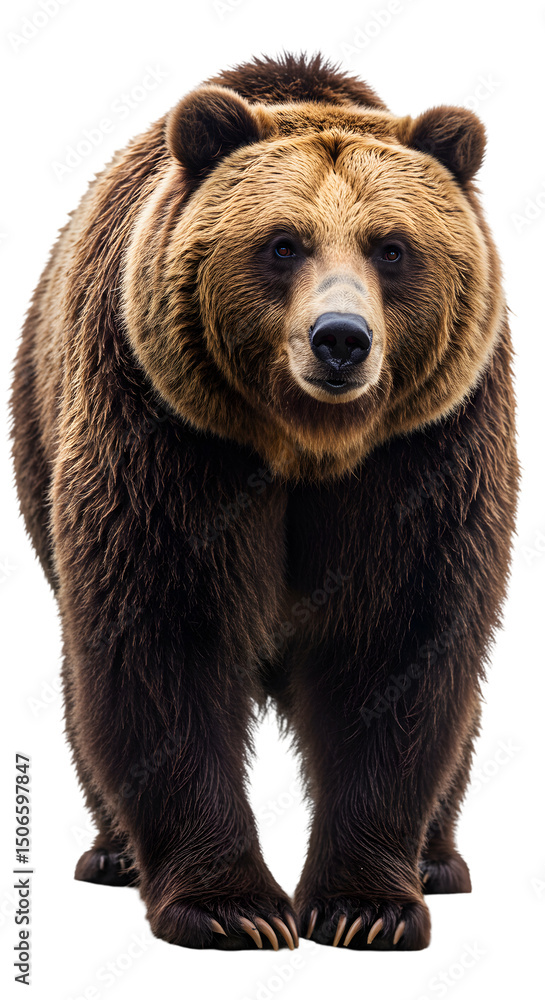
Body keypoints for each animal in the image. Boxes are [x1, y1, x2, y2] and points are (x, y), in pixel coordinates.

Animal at [10, 52, 519, 951]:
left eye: (392, 247)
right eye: (282, 244)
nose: (340, 340)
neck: (306, 446)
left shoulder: (421, 456)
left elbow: (398, 644)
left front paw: (367, 907)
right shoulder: (171, 437)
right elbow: (165, 641)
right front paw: (232, 908)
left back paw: (436, 860)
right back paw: (114, 852)